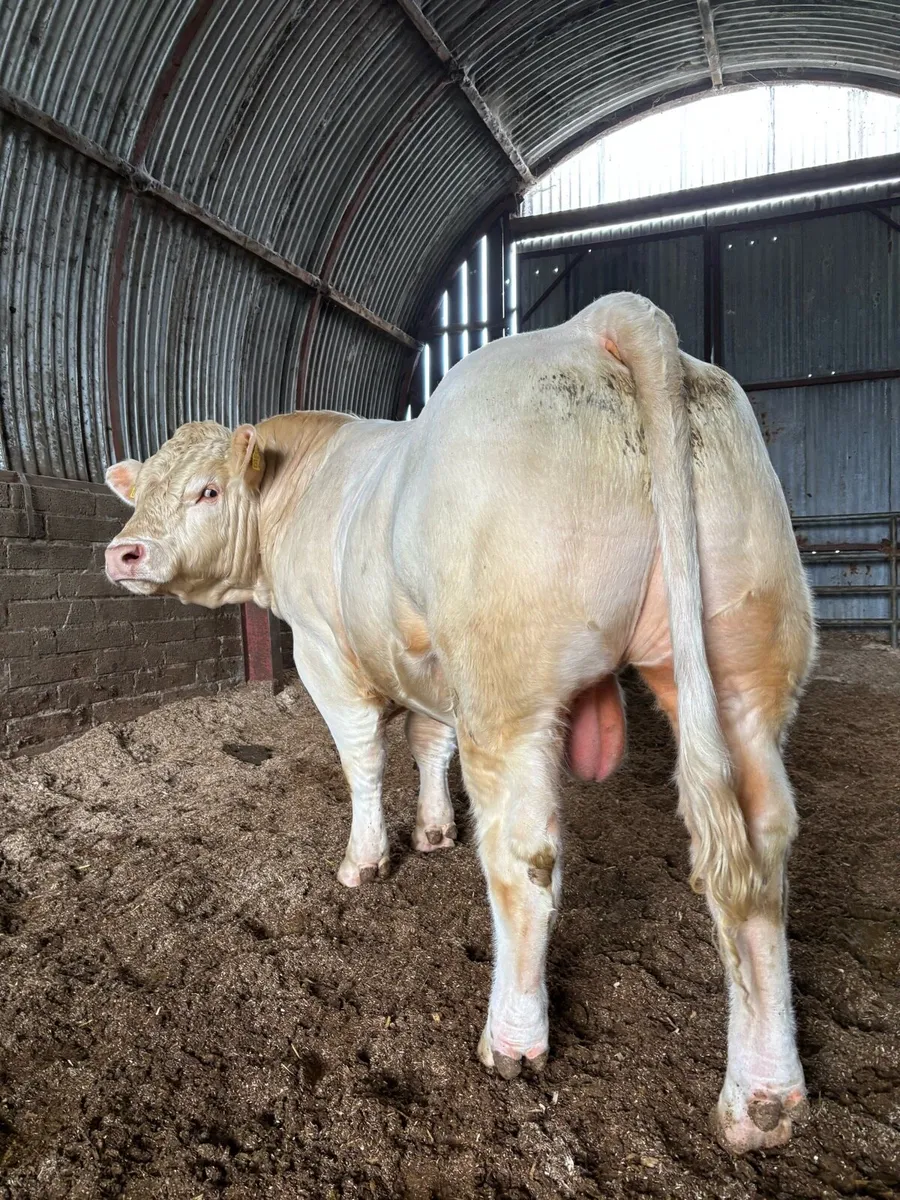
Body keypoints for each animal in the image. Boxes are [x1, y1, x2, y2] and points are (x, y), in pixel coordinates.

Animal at [104, 293, 815, 1152]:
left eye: (207, 490)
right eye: (140, 491)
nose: (124, 553)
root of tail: (604, 322)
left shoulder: (325, 653)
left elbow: (364, 760)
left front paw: (366, 859)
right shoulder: (423, 666)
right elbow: (426, 742)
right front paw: (435, 829)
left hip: (509, 687)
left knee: (525, 861)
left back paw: (513, 1038)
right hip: (742, 671)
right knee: (757, 862)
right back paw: (763, 1096)